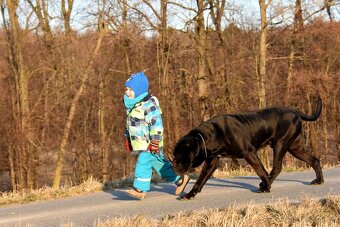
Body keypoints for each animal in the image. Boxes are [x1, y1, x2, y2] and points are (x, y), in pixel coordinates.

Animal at [173, 96, 324, 200]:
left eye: (180, 155)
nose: (173, 163)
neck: (209, 136)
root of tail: (294, 111)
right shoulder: (212, 161)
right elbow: (200, 180)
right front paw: (190, 194)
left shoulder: (249, 153)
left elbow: (261, 171)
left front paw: (266, 186)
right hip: (295, 147)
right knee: (314, 160)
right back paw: (319, 180)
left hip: (280, 144)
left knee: (277, 167)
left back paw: (265, 185)